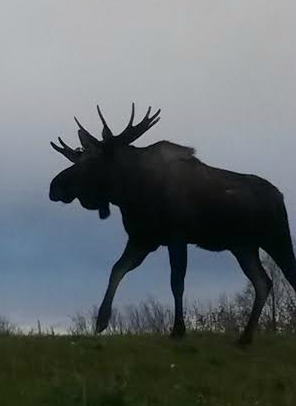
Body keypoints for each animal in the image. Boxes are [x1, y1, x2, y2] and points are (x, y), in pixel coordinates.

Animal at [49, 103, 296, 344]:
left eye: (92, 161)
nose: (54, 186)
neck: (129, 193)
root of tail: (280, 195)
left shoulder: (177, 236)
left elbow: (176, 282)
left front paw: (178, 329)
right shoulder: (142, 239)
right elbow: (116, 270)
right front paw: (101, 320)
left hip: (276, 236)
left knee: (287, 274)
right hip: (243, 247)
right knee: (263, 282)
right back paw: (245, 337)